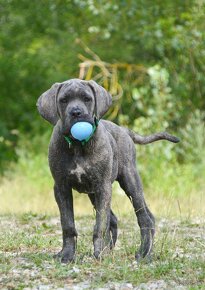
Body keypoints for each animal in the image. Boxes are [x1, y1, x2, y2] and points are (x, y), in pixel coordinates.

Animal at [36, 78, 179, 262]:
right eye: (64, 100)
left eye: (87, 99)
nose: (76, 112)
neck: (77, 145)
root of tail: (124, 130)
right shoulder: (61, 187)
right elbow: (67, 223)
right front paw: (67, 254)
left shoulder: (103, 187)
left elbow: (100, 224)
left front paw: (99, 253)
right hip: (93, 193)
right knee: (117, 219)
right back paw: (111, 249)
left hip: (130, 181)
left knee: (144, 218)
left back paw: (144, 253)